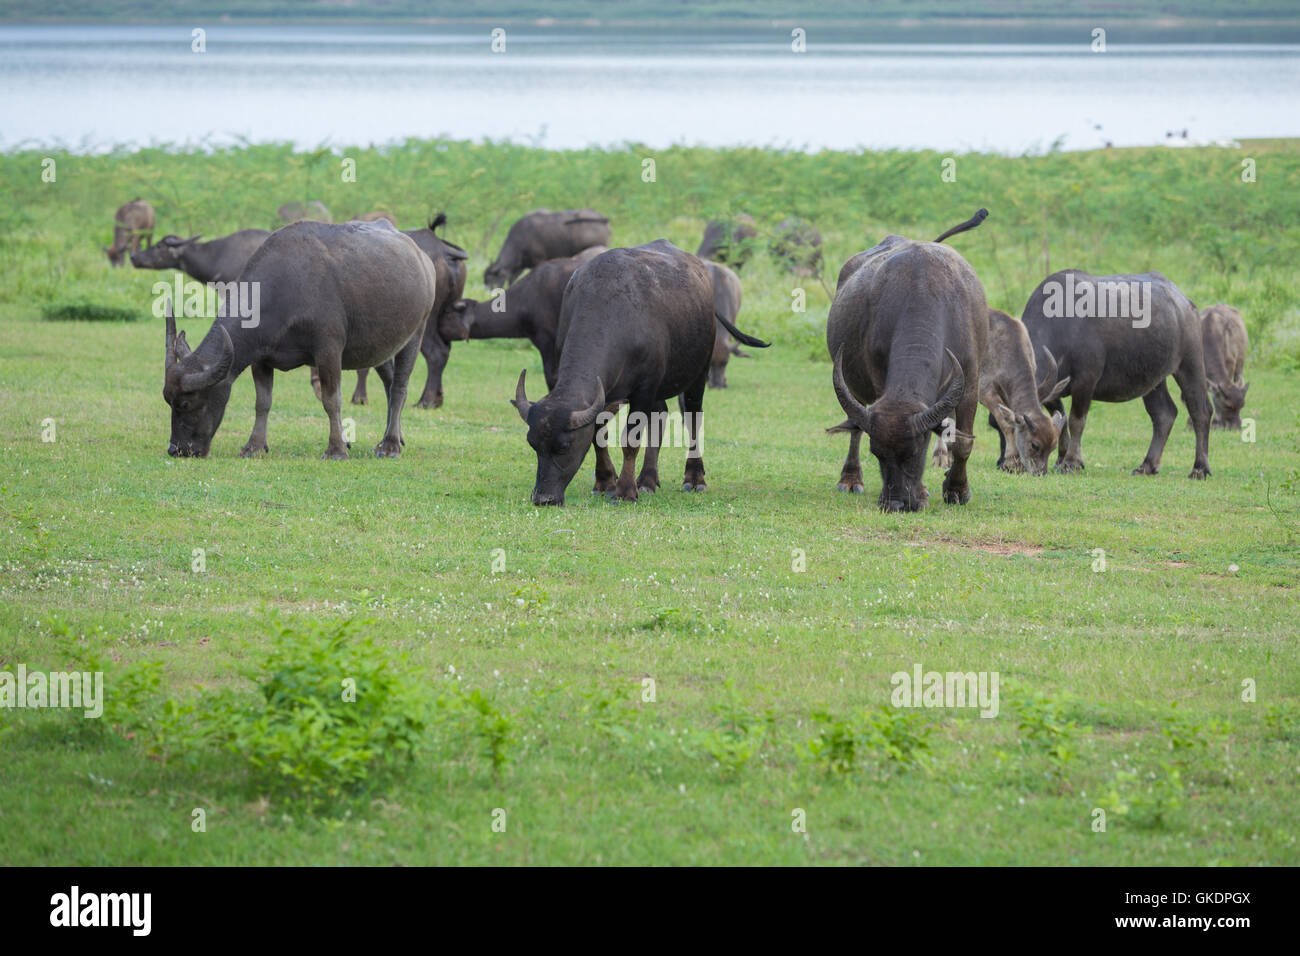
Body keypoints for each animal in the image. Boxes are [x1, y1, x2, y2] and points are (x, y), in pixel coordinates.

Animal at [162, 220, 435, 460]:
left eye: (185, 404)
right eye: (168, 401)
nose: (176, 450)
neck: (286, 287)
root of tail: (424, 259)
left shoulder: (328, 351)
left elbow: (331, 400)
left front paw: (336, 450)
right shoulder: (260, 358)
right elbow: (263, 402)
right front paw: (254, 446)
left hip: (416, 333)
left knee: (399, 388)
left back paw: (390, 446)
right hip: (380, 346)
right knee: (389, 384)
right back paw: (394, 437)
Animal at [511, 240, 769, 506]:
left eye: (564, 446)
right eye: (533, 444)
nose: (543, 498)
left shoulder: (643, 389)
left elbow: (630, 440)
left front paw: (625, 491)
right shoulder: (607, 395)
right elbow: (597, 435)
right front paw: (605, 482)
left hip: (698, 374)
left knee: (692, 418)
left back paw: (694, 477)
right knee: (660, 417)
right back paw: (647, 479)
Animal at [827, 210, 990, 511]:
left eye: (916, 450)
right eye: (877, 453)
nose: (896, 503)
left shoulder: (970, 382)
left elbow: (962, 442)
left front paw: (957, 489)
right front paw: (925, 491)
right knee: (854, 427)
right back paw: (851, 479)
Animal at [1021, 270, 1211, 478]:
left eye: (1032, 443)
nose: (1012, 464)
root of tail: (1185, 303)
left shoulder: (1086, 381)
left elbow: (1075, 421)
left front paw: (1071, 463)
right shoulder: (1053, 390)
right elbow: (1060, 420)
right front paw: (1061, 459)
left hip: (1190, 364)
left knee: (1200, 412)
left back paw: (1199, 468)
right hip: (1152, 378)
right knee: (1164, 414)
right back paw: (1147, 465)